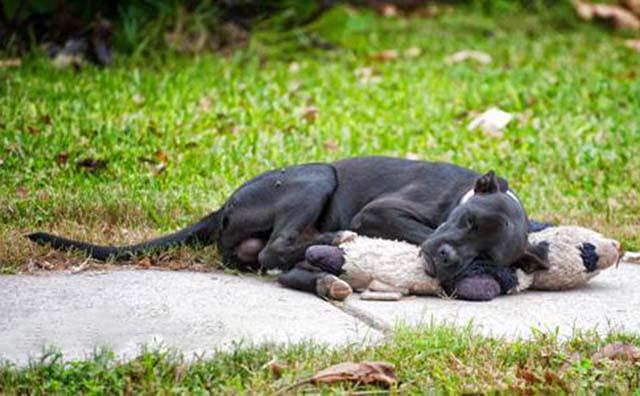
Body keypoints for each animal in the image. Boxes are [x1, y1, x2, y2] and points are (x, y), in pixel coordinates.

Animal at [28, 156, 552, 292]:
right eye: (466, 221)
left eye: (487, 251)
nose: (446, 259)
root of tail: (224, 207)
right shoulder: (380, 212)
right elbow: (419, 232)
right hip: (316, 177)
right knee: (274, 249)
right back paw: (334, 240)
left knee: (268, 255)